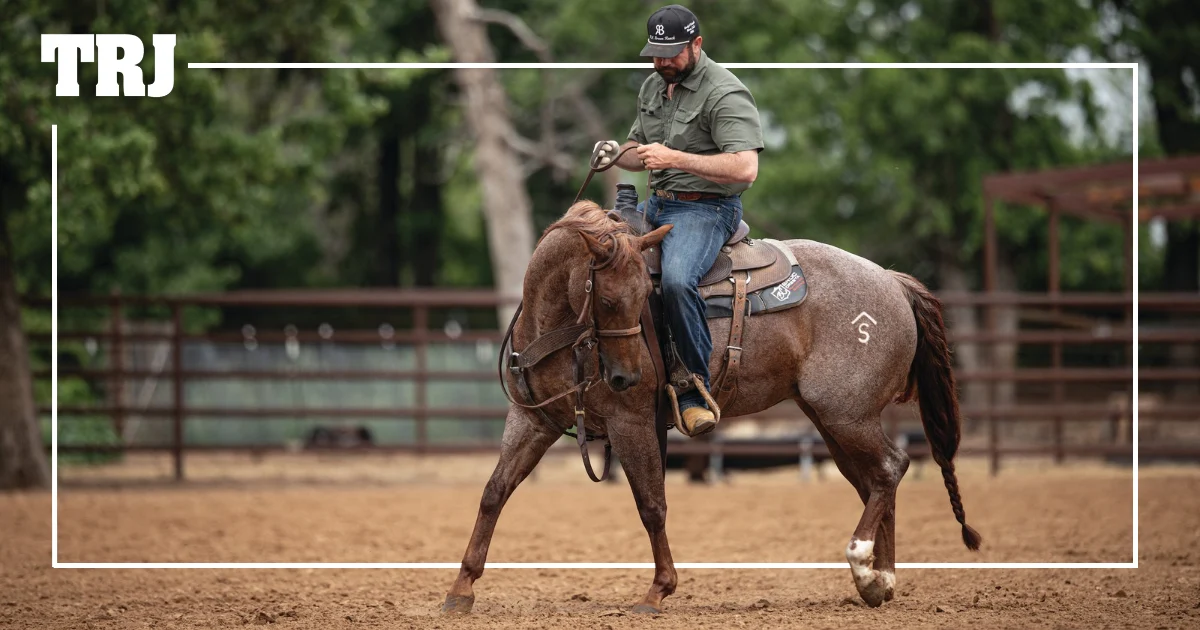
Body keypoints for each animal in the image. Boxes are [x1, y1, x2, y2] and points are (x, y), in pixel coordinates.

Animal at [440, 199, 981, 614]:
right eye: (610, 300)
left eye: (644, 295)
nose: (625, 376)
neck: (557, 326)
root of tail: (892, 282)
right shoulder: (532, 419)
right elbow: (494, 492)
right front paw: (460, 589)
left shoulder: (630, 420)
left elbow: (652, 504)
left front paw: (658, 591)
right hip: (833, 420)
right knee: (874, 481)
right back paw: (878, 581)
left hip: (847, 414)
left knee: (891, 467)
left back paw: (864, 564)